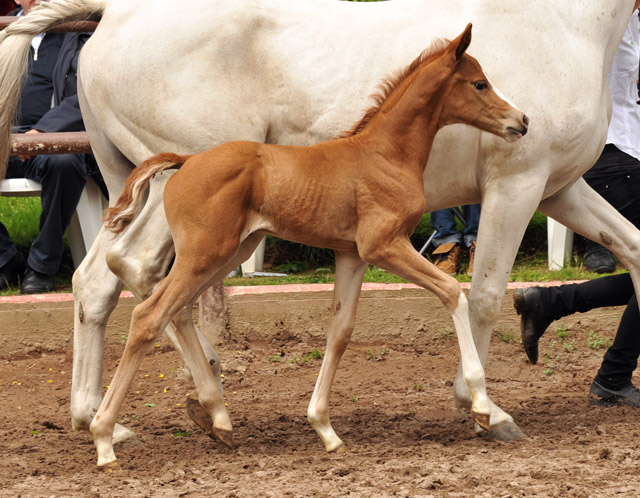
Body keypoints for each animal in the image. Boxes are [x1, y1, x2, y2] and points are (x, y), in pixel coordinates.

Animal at [95, 25, 524, 468]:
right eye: (480, 83)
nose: (522, 121)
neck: (386, 155)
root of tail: (185, 160)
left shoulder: (352, 255)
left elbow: (340, 331)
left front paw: (325, 428)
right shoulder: (383, 245)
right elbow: (452, 291)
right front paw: (481, 405)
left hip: (228, 253)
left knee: (173, 310)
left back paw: (218, 419)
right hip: (205, 254)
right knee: (148, 315)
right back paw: (104, 438)